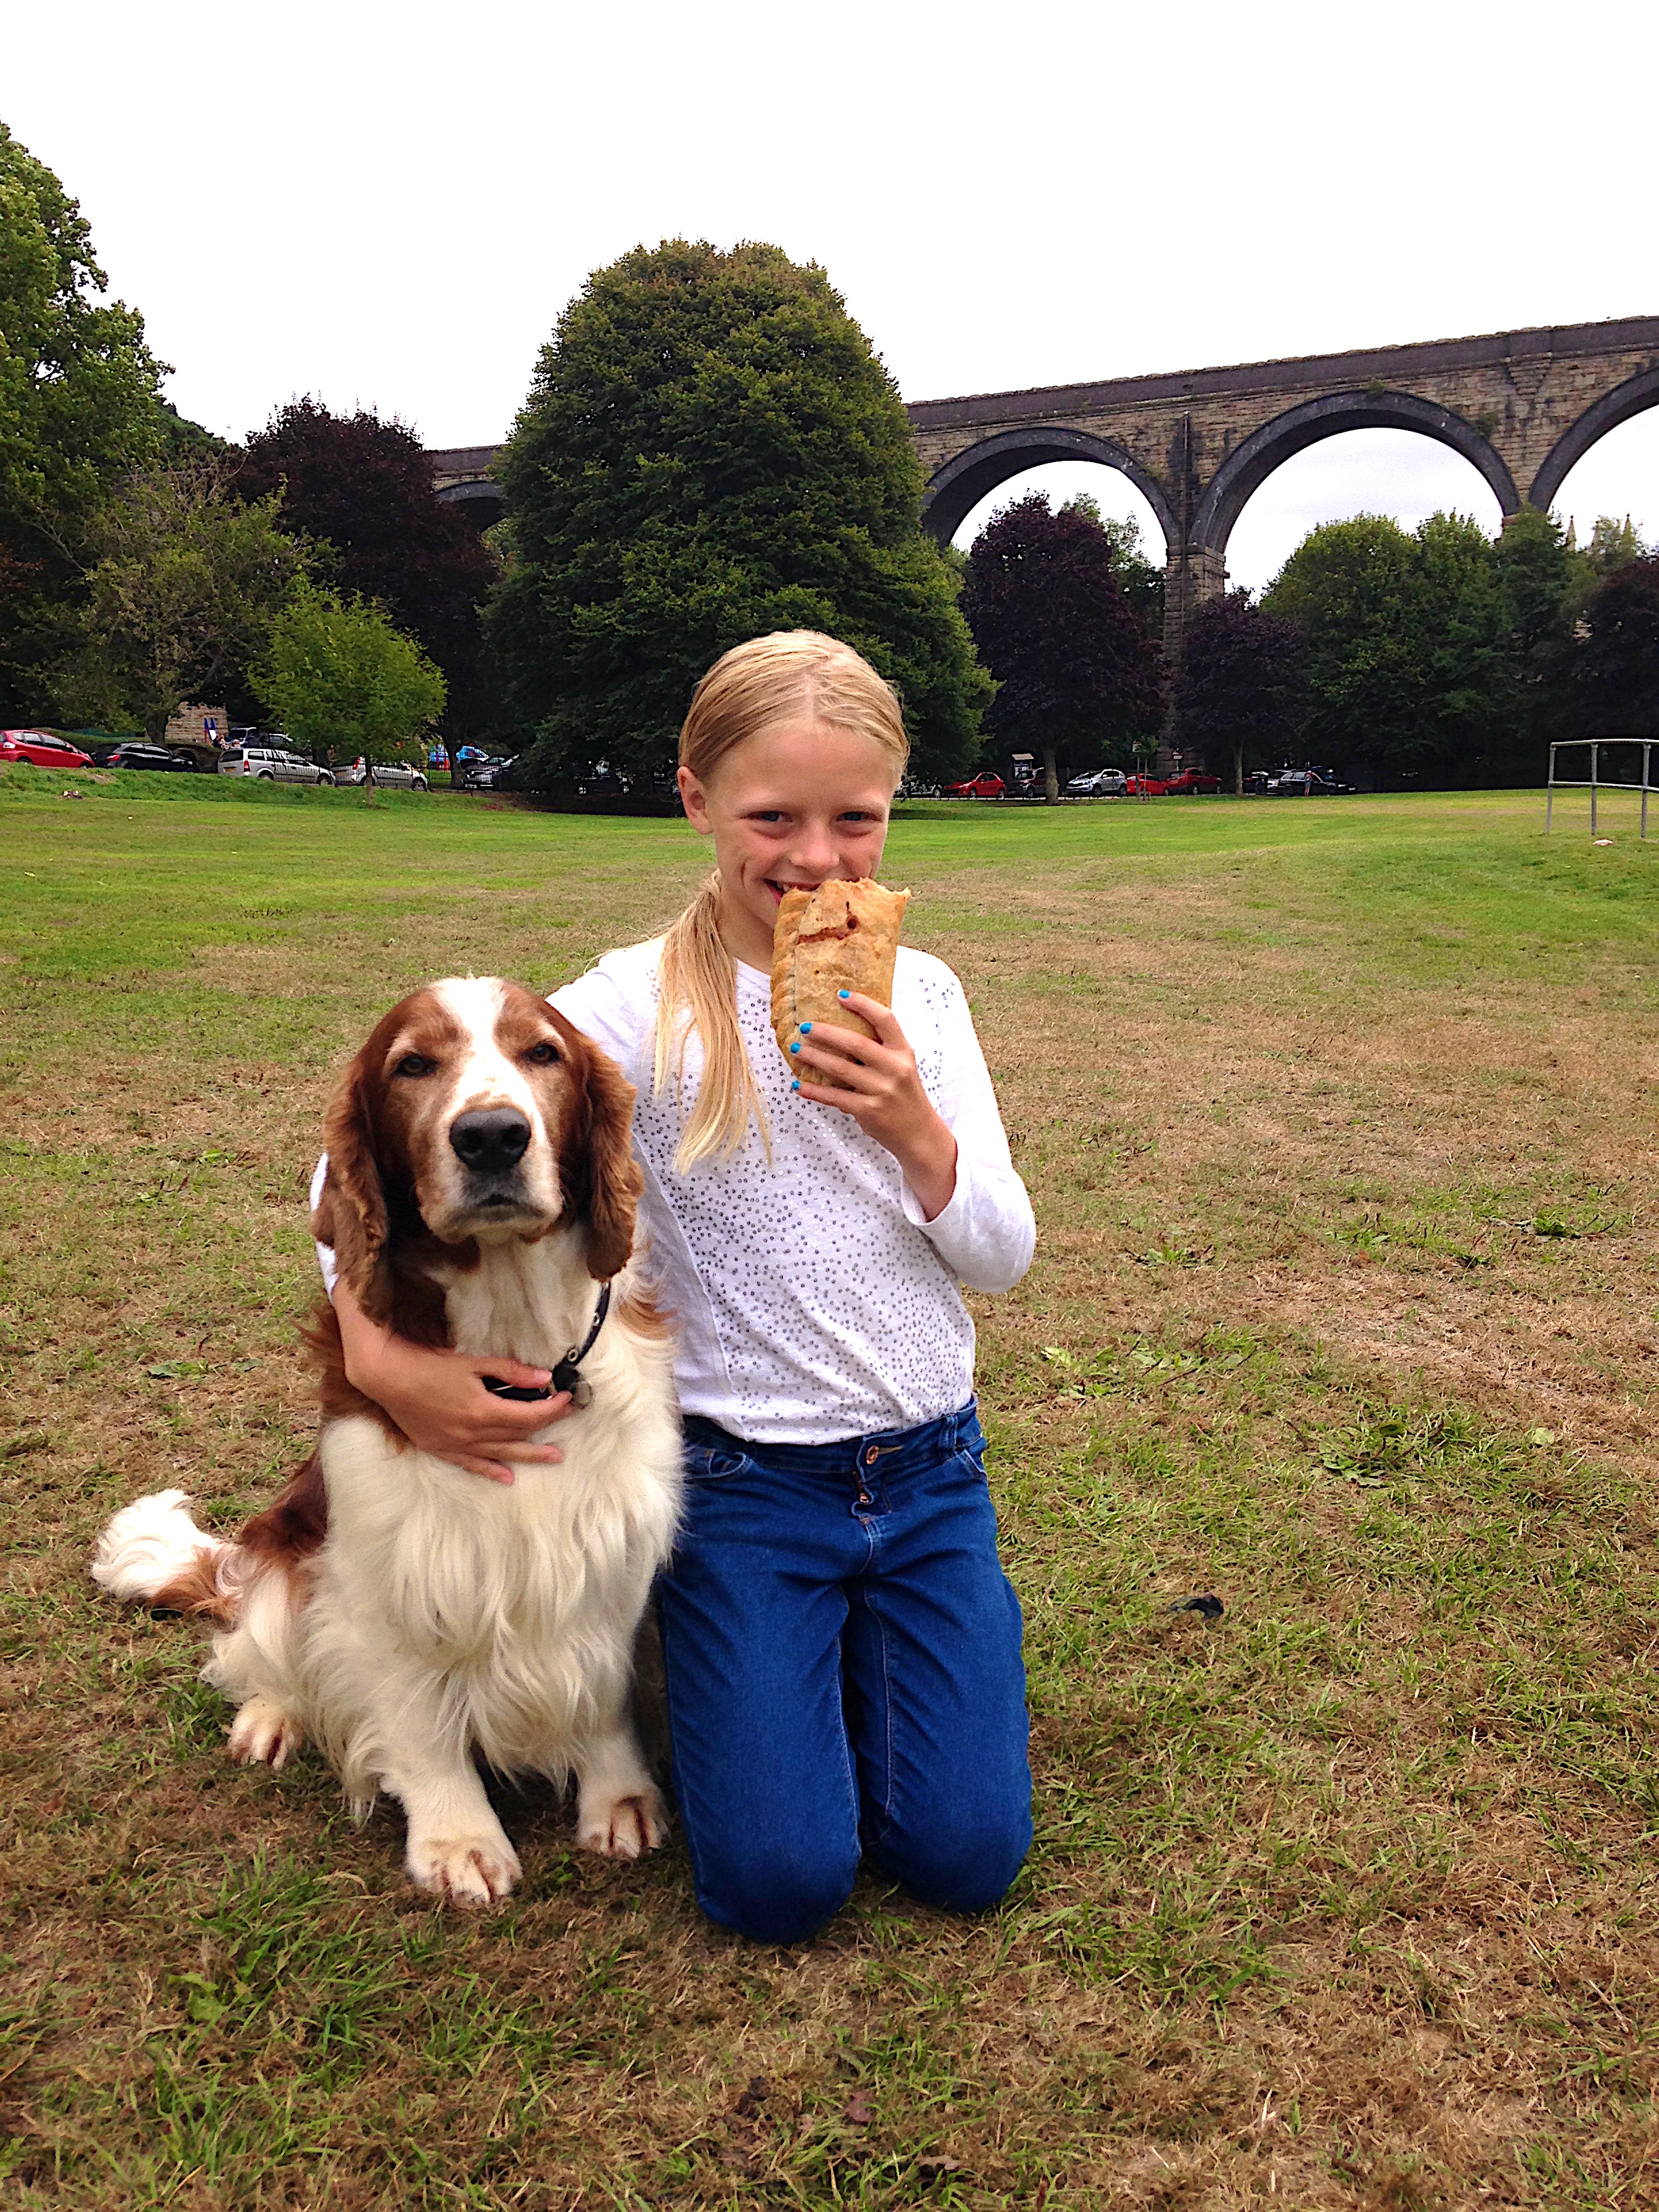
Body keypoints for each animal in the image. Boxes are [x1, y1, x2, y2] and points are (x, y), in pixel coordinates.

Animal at [92, 982, 681, 1902]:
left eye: (542, 1053)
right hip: (287, 1552)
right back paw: (270, 1720)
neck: (516, 1357)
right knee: (253, 1645)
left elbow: (606, 1691)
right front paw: (457, 1840)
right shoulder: (386, 1565)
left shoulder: (611, 1551)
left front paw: (618, 1797)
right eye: (412, 1065)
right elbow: (417, 1720)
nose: (491, 1136)